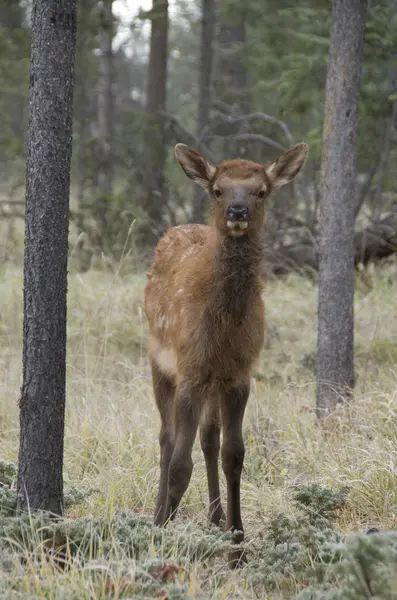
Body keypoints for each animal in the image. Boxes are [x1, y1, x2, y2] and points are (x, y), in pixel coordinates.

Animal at [144, 141, 308, 564]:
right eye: (218, 190)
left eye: (261, 191)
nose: (237, 211)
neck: (222, 328)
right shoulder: (190, 370)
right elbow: (179, 464)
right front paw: (161, 537)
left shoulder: (239, 374)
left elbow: (234, 455)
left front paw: (237, 545)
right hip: (158, 363)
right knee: (166, 437)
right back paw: (157, 515)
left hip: (213, 383)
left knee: (208, 438)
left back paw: (215, 519)